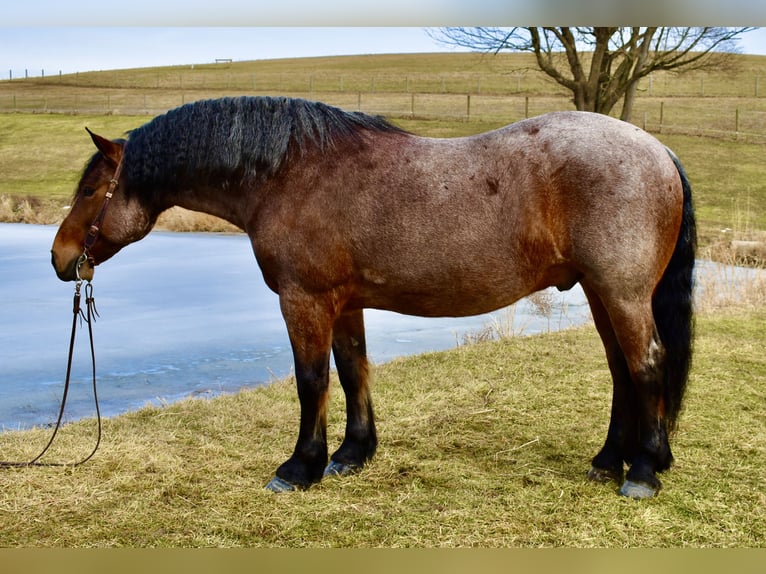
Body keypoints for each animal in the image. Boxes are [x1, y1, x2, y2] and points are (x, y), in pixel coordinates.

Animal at [51, 96, 696, 499]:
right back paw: (609, 461)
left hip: (622, 293)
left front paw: (300, 467)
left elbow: (312, 379)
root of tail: (658, 150)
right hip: (601, 294)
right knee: (621, 370)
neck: (290, 175)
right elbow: (353, 368)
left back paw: (642, 470)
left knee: (646, 365)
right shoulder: (344, 303)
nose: (60, 258)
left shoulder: (305, 300)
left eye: (90, 189)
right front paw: (352, 454)